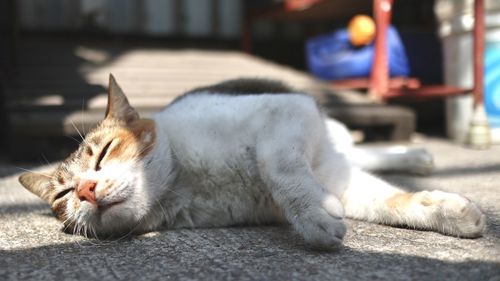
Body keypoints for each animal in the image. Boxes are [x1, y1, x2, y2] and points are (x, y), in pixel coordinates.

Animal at [17, 74, 486, 247]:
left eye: (104, 151)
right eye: (62, 195)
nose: (86, 189)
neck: (187, 180)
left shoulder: (289, 112)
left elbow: (276, 165)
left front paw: (314, 216)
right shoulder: (342, 183)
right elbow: (393, 202)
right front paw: (450, 211)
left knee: (359, 150)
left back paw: (419, 154)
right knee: (361, 159)